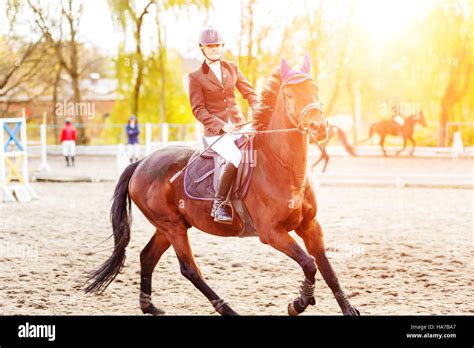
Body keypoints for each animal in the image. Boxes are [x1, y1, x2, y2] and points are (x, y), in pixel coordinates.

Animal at [85, 53, 360, 316]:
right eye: (290, 94)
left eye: (315, 89)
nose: (319, 127)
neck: (282, 166)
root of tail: (141, 162)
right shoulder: (272, 233)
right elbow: (309, 263)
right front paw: (299, 302)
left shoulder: (310, 226)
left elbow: (327, 269)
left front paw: (347, 308)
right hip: (172, 226)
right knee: (189, 269)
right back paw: (228, 309)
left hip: (169, 226)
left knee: (147, 257)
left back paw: (149, 307)